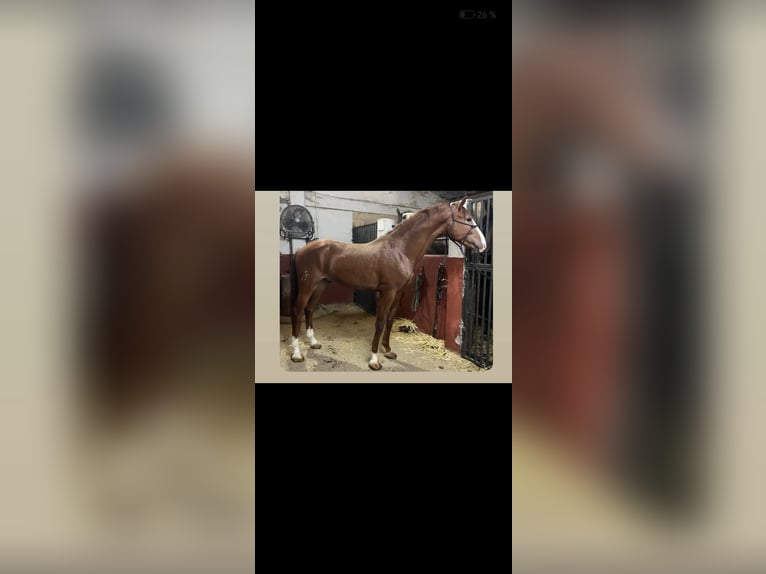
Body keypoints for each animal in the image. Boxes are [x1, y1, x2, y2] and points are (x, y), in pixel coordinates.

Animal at [288, 197, 487, 369]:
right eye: (468, 219)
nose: (483, 245)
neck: (399, 250)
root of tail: (302, 250)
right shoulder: (387, 292)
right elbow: (380, 322)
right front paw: (374, 360)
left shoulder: (399, 292)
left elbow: (390, 320)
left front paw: (388, 350)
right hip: (307, 285)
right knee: (297, 310)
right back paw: (297, 354)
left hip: (321, 285)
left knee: (309, 309)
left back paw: (313, 343)